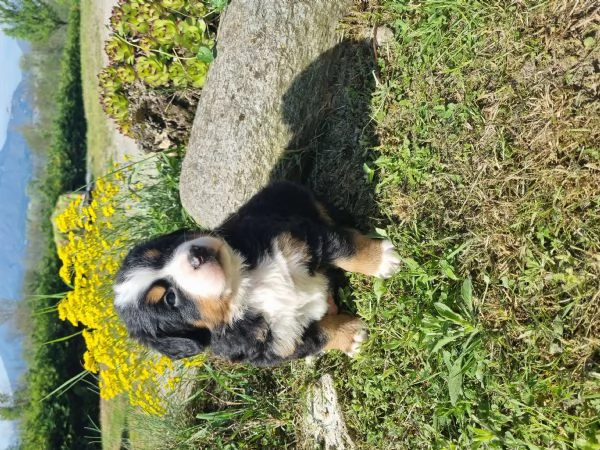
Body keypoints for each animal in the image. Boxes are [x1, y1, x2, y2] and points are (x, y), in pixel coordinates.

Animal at [115, 181, 400, 368]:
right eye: (170, 299)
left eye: (166, 249)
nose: (196, 254)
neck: (246, 285)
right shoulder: (272, 347)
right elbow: (317, 335)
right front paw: (350, 336)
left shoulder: (297, 236)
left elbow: (344, 249)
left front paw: (381, 260)